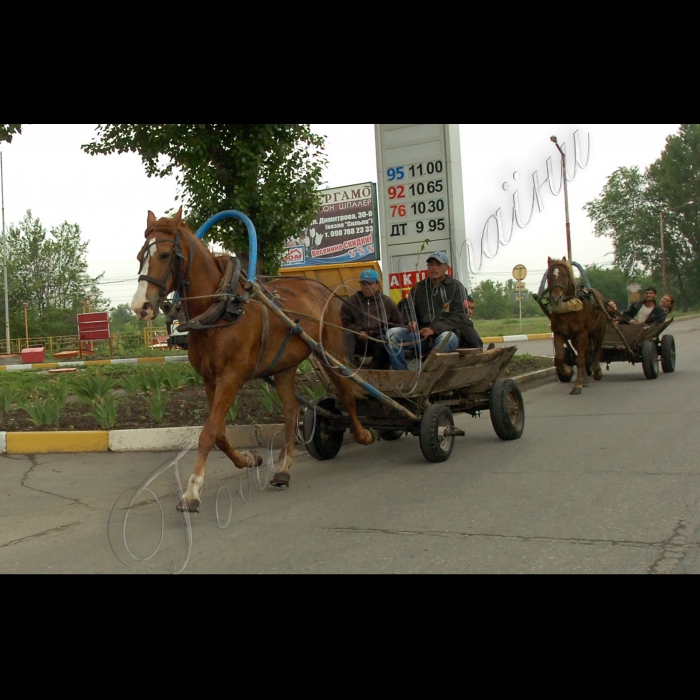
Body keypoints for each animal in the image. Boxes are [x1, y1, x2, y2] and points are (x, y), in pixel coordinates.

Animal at [131, 206, 372, 508]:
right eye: (141, 256)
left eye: (165, 255)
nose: (140, 306)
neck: (221, 308)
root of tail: (320, 288)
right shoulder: (209, 379)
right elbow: (220, 434)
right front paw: (249, 459)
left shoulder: (231, 377)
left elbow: (209, 432)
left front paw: (192, 491)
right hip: (284, 366)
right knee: (292, 411)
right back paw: (283, 469)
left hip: (331, 351)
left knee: (346, 392)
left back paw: (363, 434)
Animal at [540, 258, 608, 396]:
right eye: (548, 276)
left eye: (565, 275)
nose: (556, 298)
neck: (569, 309)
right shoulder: (559, 334)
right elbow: (559, 358)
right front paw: (567, 371)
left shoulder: (582, 333)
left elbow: (580, 360)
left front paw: (577, 385)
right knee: (587, 352)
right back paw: (585, 378)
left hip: (598, 331)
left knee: (596, 350)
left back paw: (597, 372)